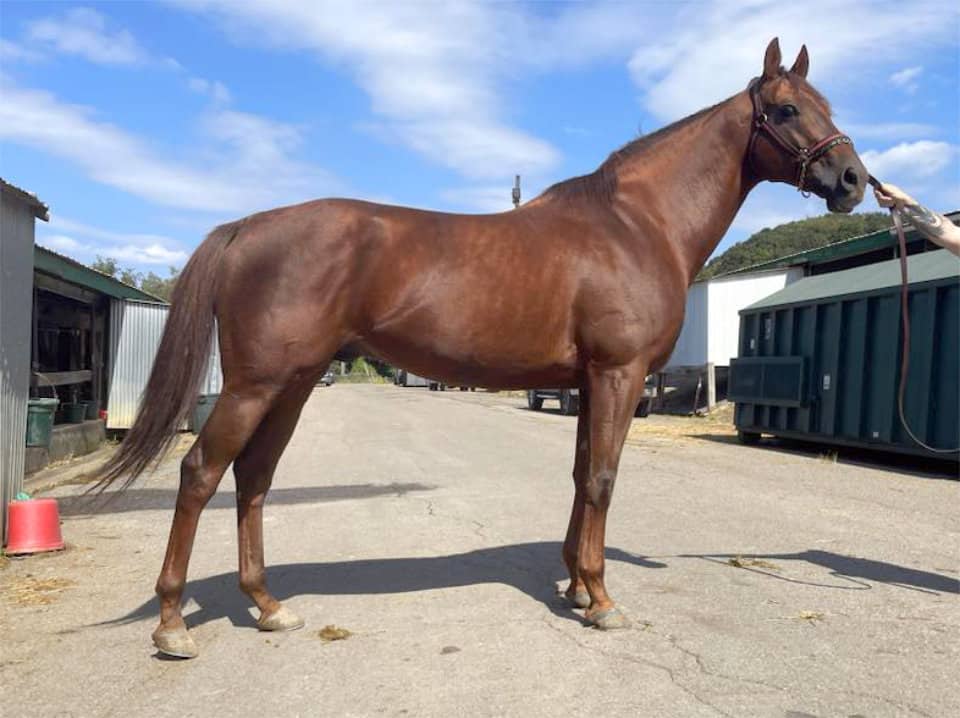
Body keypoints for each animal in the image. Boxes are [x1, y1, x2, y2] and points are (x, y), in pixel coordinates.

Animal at [95, 38, 867, 658]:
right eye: (788, 110)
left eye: (825, 103)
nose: (854, 181)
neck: (634, 223)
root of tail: (245, 227)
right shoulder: (617, 375)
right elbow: (603, 479)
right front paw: (602, 601)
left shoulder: (587, 381)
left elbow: (580, 475)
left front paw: (574, 586)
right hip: (255, 384)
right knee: (201, 473)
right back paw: (173, 624)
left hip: (294, 382)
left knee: (253, 477)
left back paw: (267, 606)